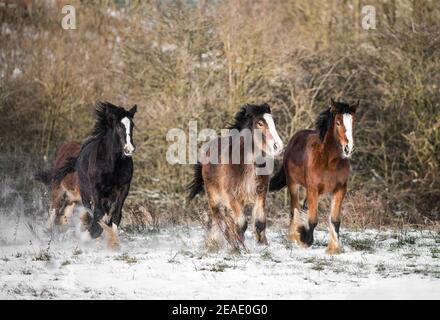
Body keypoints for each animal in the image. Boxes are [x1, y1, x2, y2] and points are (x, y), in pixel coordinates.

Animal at [53, 101, 137, 249]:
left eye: (132, 125)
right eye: (118, 126)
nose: (129, 149)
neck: (113, 164)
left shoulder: (123, 188)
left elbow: (116, 215)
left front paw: (114, 243)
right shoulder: (96, 189)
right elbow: (97, 214)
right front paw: (90, 235)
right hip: (85, 192)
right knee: (91, 211)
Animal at [186, 104, 284, 251]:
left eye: (274, 122)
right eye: (260, 123)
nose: (278, 146)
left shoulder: (260, 192)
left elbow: (259, 221)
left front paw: (262, 245)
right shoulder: (231, 196)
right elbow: (242, 223)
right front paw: (240, 246)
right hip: (214, 198)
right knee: (217, 218)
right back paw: (215, 242)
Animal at [270, 99, 360, 254]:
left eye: (352, 121)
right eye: (338, 122)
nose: (349, 149)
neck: (328, 161)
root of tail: (294, 139)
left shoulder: (340, 189)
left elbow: (335, 220)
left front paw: (334, 248)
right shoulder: (313, 189)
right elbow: (313, 219)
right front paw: (304, 238)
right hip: (294, 185)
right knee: (295, 209)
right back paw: (294, 235)